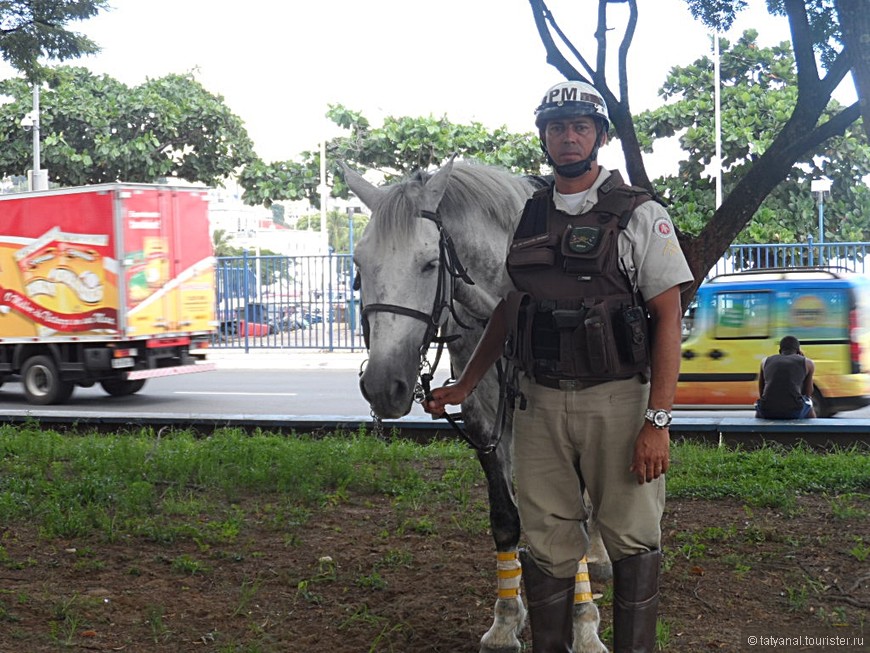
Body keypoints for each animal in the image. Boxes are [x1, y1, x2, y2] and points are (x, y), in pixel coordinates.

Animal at [344, 159, 608, 652]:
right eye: (359, 263)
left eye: (430, 264)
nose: (383, 386)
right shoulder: (486, 426)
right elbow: (506, 519)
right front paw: (506, 620)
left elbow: (575, 519)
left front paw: (584, 625)